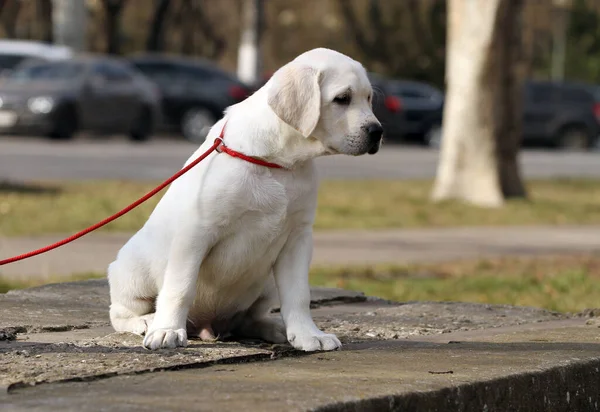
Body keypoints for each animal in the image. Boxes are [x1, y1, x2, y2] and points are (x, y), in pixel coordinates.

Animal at [107, 48, 382, 350]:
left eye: (369, 98)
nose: (377, 131)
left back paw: (275, 328)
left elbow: (298, 294)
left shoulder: (298, 238)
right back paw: (146, 321)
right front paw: (167, 330)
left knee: (249, 319)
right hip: (132, 271)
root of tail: (208, 327)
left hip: (266, 282)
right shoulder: (196, 232)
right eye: (342, 99)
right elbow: (180, 287)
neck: (278, 162)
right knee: (120, 312)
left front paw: (308, 335)